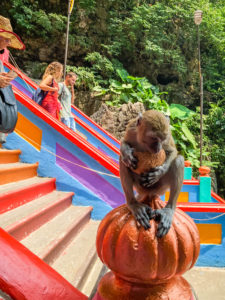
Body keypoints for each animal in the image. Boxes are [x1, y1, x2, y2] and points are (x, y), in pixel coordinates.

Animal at [120, 109, 184, 237]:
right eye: (154, 138)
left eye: (162, 139)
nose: (158, 148)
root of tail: (148, 194)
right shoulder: (131, 129)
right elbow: (124, 142)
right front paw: (126, 153)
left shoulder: (168, 134)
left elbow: (172, 151)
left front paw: (158, 172)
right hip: (140, 187)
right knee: (123, 163)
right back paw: (133, 204)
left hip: (161, 188)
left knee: (178, 161)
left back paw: (169, 209)